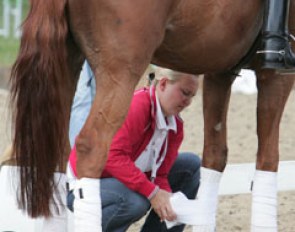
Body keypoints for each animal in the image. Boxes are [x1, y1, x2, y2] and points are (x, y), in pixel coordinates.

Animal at [9, 0, 295, 231]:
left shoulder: (220, 70)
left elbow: (215, 156)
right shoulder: (275, 76)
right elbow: (268, 160)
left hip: (68, 61)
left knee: (57, 154)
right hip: (121, 70)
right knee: (91, 148)